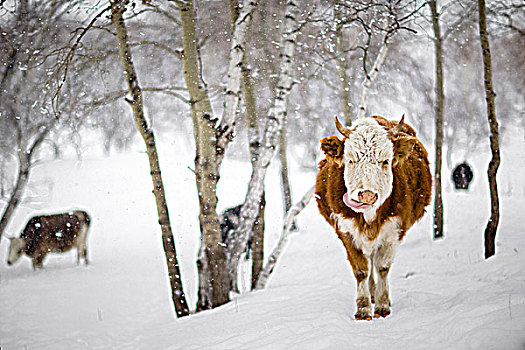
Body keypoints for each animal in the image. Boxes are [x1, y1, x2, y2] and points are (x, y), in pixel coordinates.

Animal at [316, 115, 430, 320]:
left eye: (385, 161)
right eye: (351, 160)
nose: (367, 195)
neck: (369, 218)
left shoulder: (394, 231)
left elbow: (382, 267)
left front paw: (383, 305)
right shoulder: (346, 231)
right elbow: (361, 270)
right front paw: (363, 308)